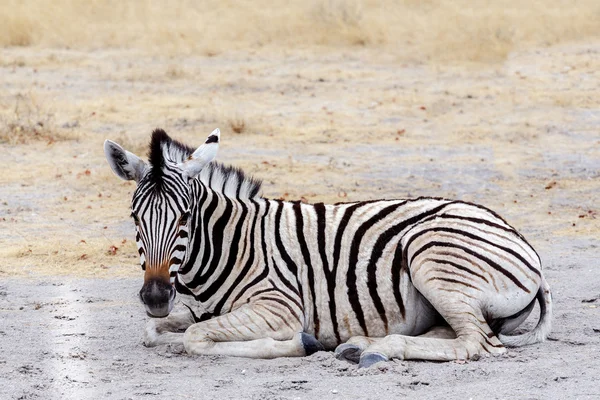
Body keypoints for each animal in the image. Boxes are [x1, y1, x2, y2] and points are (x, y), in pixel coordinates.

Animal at [103, 128, 552, 366]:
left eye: (185, 218)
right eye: (135, 219)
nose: (156, 297)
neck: (228, 242)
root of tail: (520, 239)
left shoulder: (279, 306)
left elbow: (194, 338)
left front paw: (301, 343)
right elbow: (154, 331)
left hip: (430, 254)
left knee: (476, 343)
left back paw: (375, 350)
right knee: (455, 333)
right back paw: (360, 345)